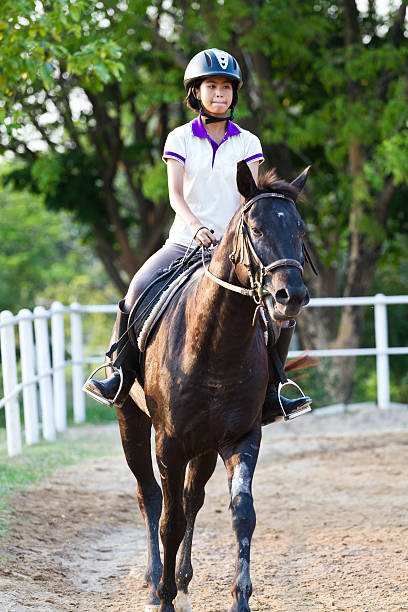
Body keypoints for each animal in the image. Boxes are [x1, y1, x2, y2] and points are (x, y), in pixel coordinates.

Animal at [113, 161, 310, 612]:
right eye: (255, 228)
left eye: (300, 229)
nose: (290, 295)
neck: (217, 346)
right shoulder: (168, 443)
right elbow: (169, 521)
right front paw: (165, 597)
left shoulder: (241, 437)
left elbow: (242, 514)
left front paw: (239, 599)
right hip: (132, 422)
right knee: (150, 496)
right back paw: (154, 582)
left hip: (203, 444)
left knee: (192, 499)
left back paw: (183, 583)